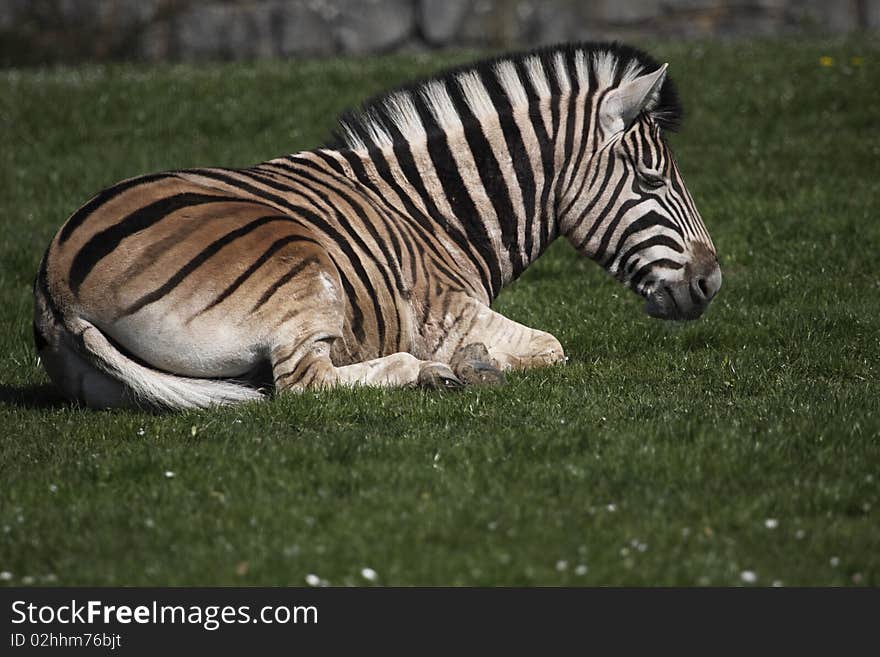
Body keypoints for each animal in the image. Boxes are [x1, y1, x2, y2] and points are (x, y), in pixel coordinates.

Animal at [34, 41, 720, 408]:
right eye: (652, 182)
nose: (712, 283)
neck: (435, 212)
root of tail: (59, 280)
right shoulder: (448, 313)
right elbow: (552, 347)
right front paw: (476, 364)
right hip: (299, 264)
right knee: (303, 385)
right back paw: (433, 374)